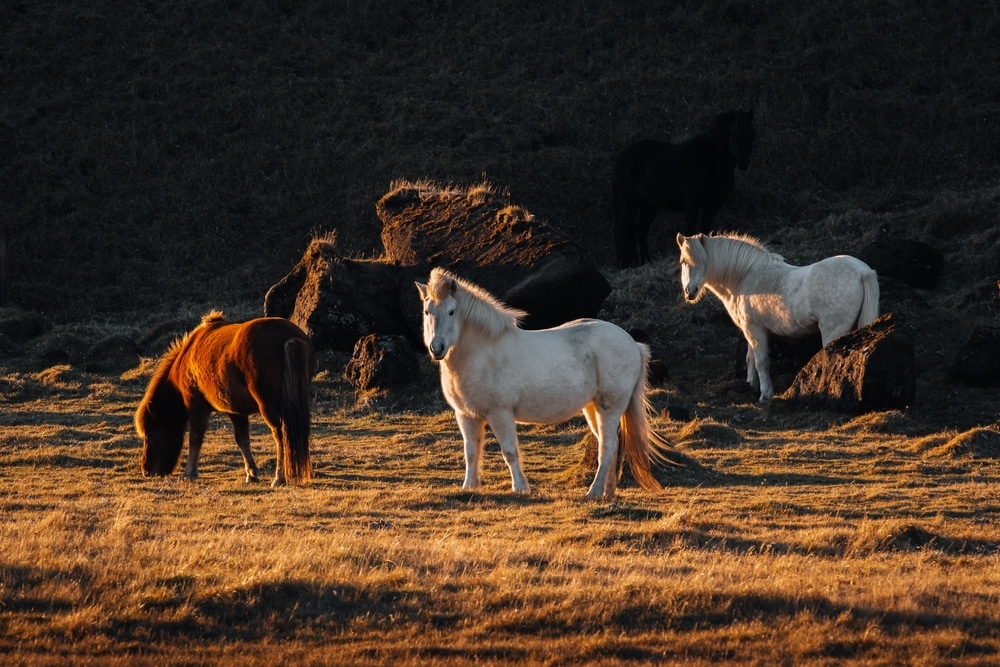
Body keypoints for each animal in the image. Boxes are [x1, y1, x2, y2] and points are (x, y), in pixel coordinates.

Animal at [137, 310, 314, 488]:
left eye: (151, 434)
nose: (147, 471)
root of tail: (289, 338)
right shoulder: (236, 411)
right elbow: (242, 439)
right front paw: (251, 473)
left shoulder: (197, 407)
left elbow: (195, 438)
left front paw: (190, 473)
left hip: (268, 406)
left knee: (280, 435)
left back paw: (279, 477)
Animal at [414, 268, 680, 498]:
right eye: (427, 311)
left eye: (452, 311)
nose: (436, 348)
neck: (482, 353)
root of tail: (633, 344)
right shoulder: (466, 415)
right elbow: (471, 452)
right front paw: (470, 486)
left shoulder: (500, 413)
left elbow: (509, 451)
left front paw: (520, 488)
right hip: (593, 408)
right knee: (610, 446)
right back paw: (608, 491)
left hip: (610, 408)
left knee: (608, 447)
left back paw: (593, 492)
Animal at [612, 108, 752, 268]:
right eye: (733, 133)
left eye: (752, 134)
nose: (744, 163)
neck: (709, 159)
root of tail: (621, 158)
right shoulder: (692, 203)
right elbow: (690, 230)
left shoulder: (712, 205)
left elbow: (705, 230)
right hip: (628, 204)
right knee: (623, 230)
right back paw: (627, 264)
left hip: (648, 207)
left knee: (640, 230)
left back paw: (645, 262)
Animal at [676, 232, 880, 404]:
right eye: (683, 262)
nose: (690, 292)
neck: (745, 276)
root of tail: (862, 272)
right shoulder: (750, 330)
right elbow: (750, 358)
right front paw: (751, 385)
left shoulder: (755, 329)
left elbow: (760, 361)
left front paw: (765, 395)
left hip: (833, 331)